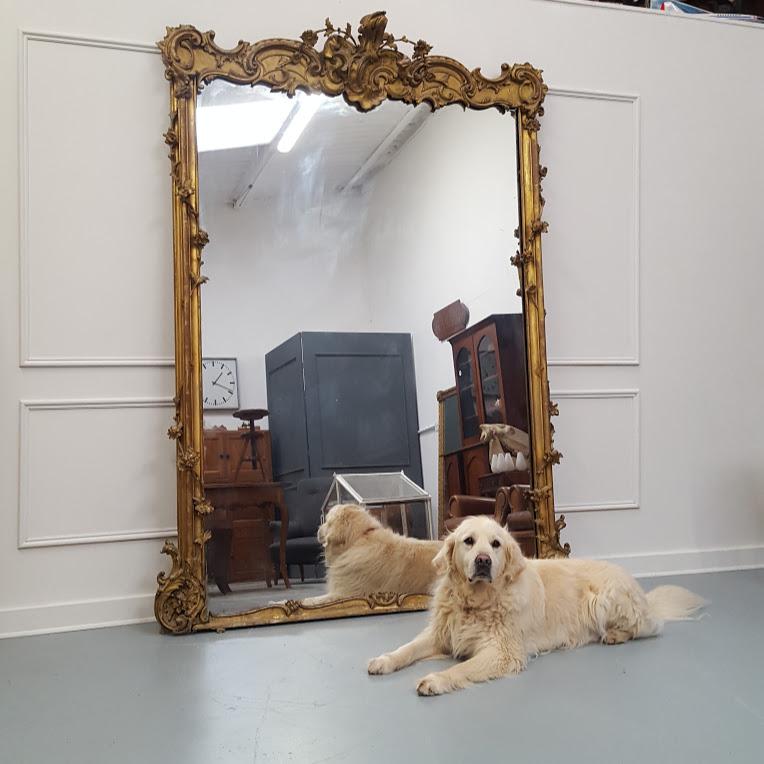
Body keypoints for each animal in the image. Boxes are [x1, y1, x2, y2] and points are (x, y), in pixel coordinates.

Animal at [297, 503, 443, 607]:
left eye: (326, 521)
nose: (317, 528)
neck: (359, 538)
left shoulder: (345, 593)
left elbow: (312, 600)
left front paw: (301, 602)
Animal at [368, 515, 707, 696]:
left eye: (496, 544)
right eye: (468, 541)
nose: (483, 561)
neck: (476, 602)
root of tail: (641, 593)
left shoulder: (503, 651)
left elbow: (463, 667)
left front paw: (436, 679)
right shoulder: (441, 634)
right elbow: (407, 649)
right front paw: (384, 661)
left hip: (604, 600)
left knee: (649, 628)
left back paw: (614, 635)